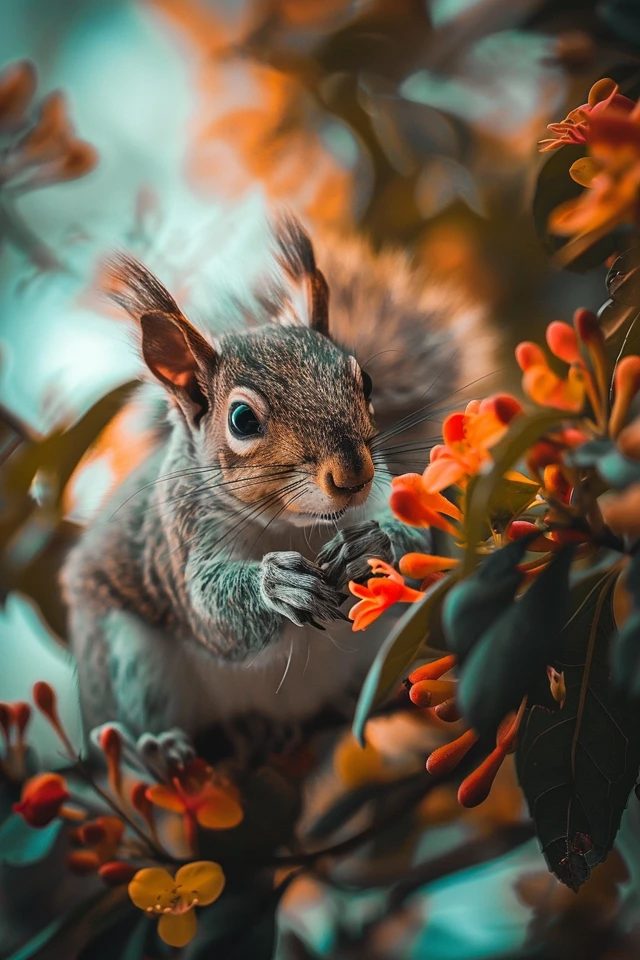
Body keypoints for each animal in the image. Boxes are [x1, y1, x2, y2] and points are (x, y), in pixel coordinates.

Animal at [61, 214, 491, 744]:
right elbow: (211, 611)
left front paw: (370, 546)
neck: (292, 524)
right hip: (124, 658)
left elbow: (415, 540)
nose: (352, 473)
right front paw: (279, 584)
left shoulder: (379, 492)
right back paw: (162, 750)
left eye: (366, 382)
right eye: (242, 419)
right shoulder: (178, 536)